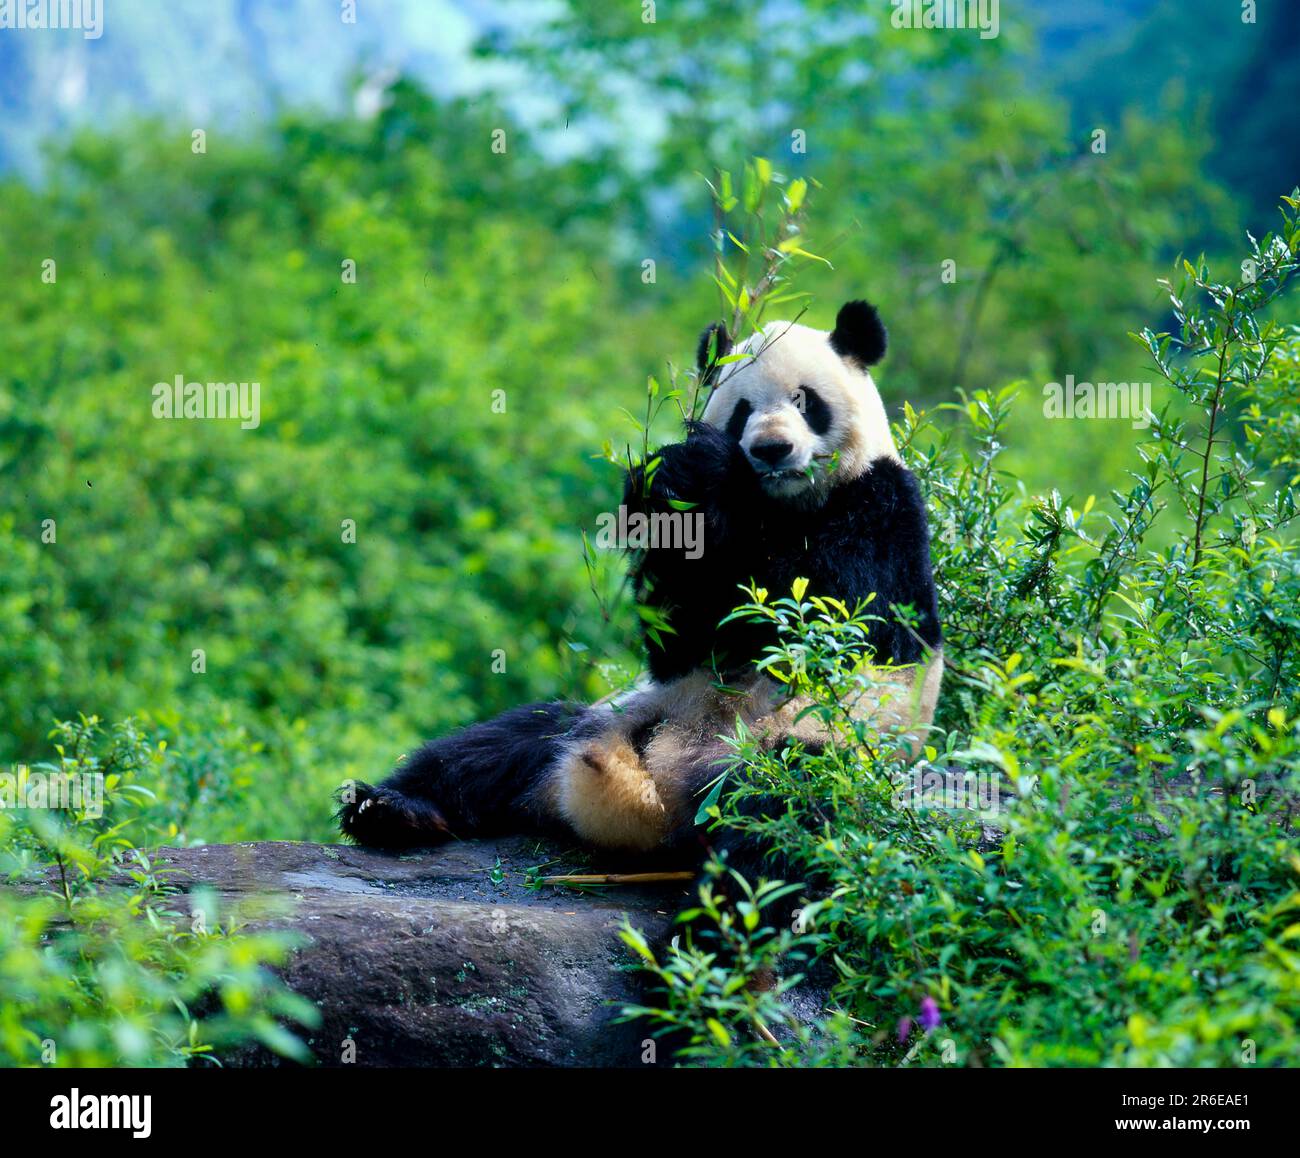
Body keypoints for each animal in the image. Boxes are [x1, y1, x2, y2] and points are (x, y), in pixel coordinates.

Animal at [338, 299, 943, 884]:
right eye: (743, 410)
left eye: (803, 399)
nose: (772, 449)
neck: (781, 504)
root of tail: (659, 798)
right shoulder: (677, 652)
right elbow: (688, 634)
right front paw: (678, 480)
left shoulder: (881, 506)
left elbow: (812, 620)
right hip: (614, 714)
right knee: (498, 743)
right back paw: (389, 809)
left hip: (806, 740)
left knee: (783, 808)